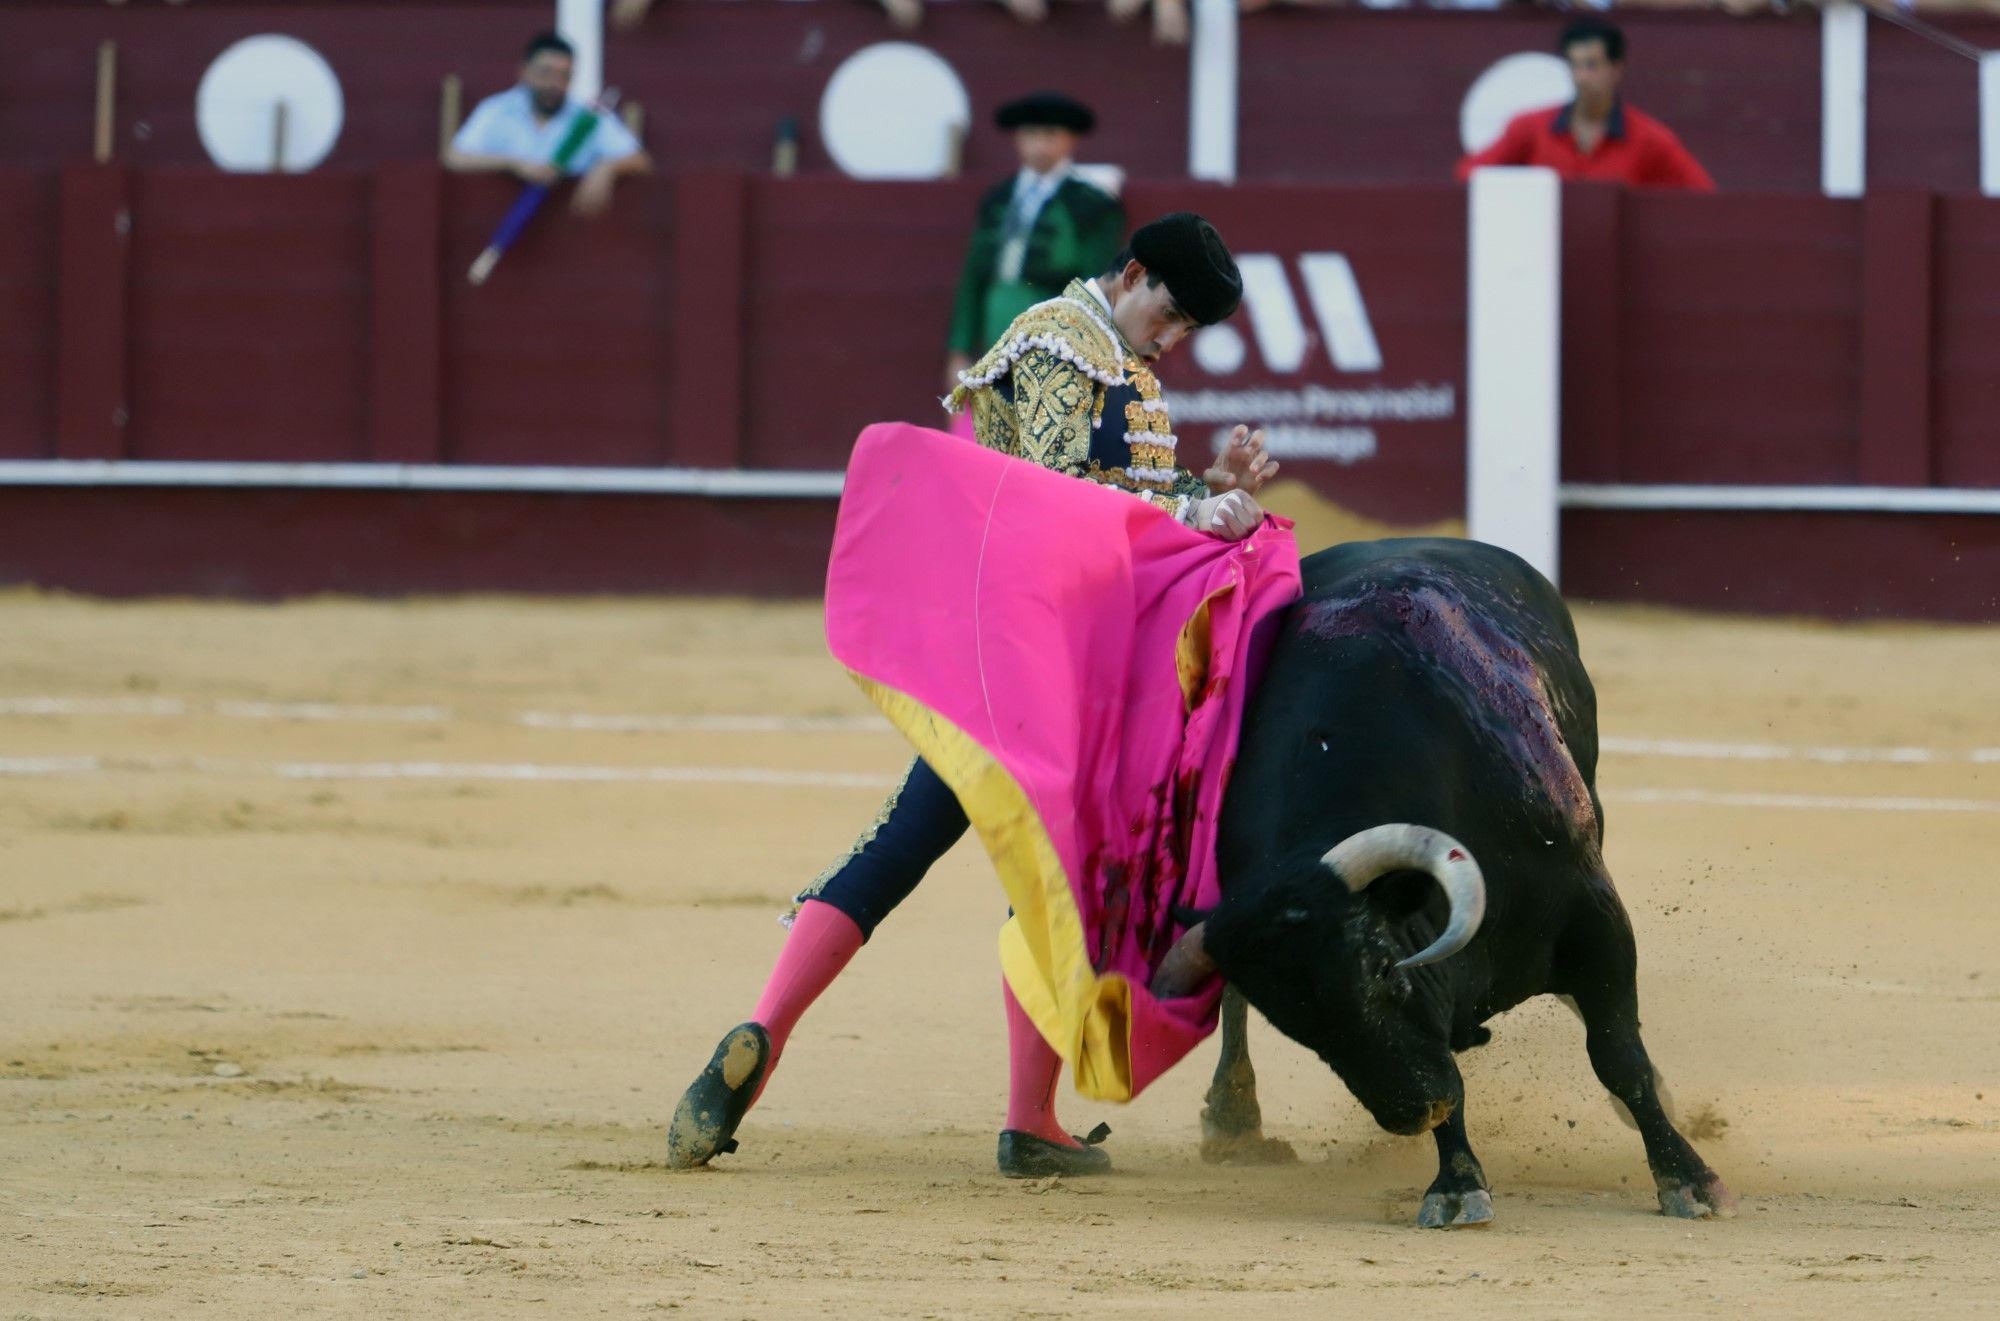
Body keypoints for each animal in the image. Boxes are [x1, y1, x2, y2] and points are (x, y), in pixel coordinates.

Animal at [1168, 536, 1736, 1224]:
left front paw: (1689, 1178)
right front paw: (1458, 1183)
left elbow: (1617, 1055)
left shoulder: (1594, 916)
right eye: (1297, 1026)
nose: (1414, 1111)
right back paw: (1234, 1119)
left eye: (1384, 968)